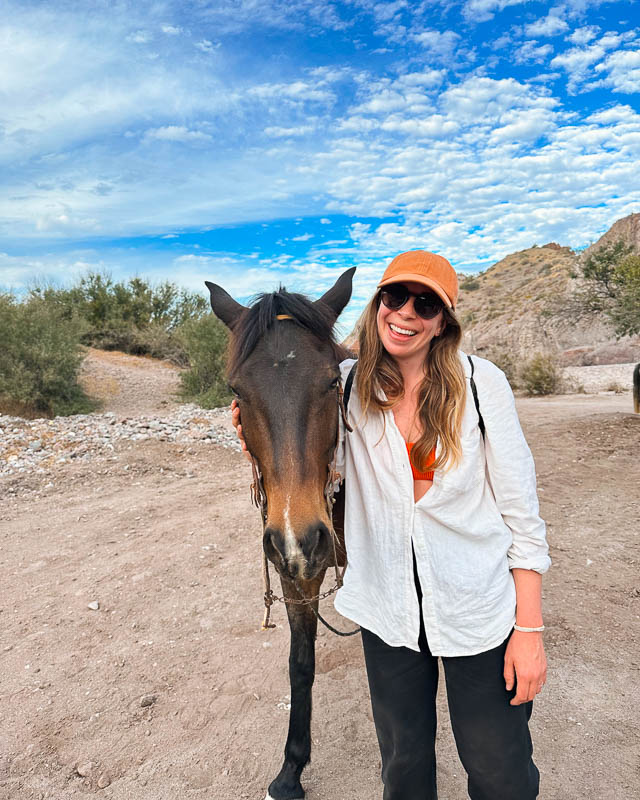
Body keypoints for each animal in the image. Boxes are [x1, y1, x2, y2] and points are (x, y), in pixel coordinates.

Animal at [206, 270, 356, 800]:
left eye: (331, 381)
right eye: (236, 389)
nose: (298, 538)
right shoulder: (297, 576)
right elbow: (300, 664)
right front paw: (292, 770)